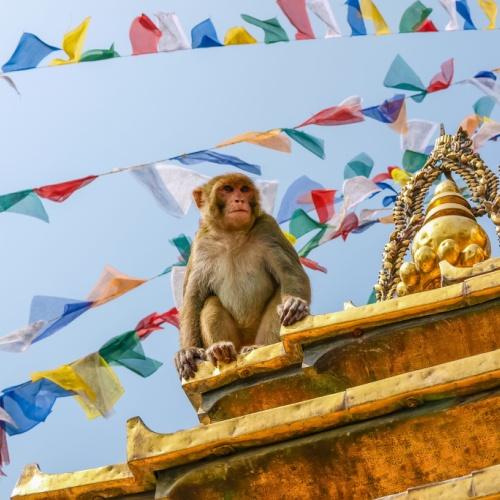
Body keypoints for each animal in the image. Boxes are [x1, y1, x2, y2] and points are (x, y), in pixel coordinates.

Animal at [174, 172, 310, 378]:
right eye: (227, 189)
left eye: (244, 189)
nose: (239, 199)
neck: (232, 235)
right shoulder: (201, 245)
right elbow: (193, 297)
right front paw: (188, 352)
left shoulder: (268, 229)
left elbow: (290, 272)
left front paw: (295, 304)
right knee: (211, 302)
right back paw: (220, 350)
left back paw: (257, 348)